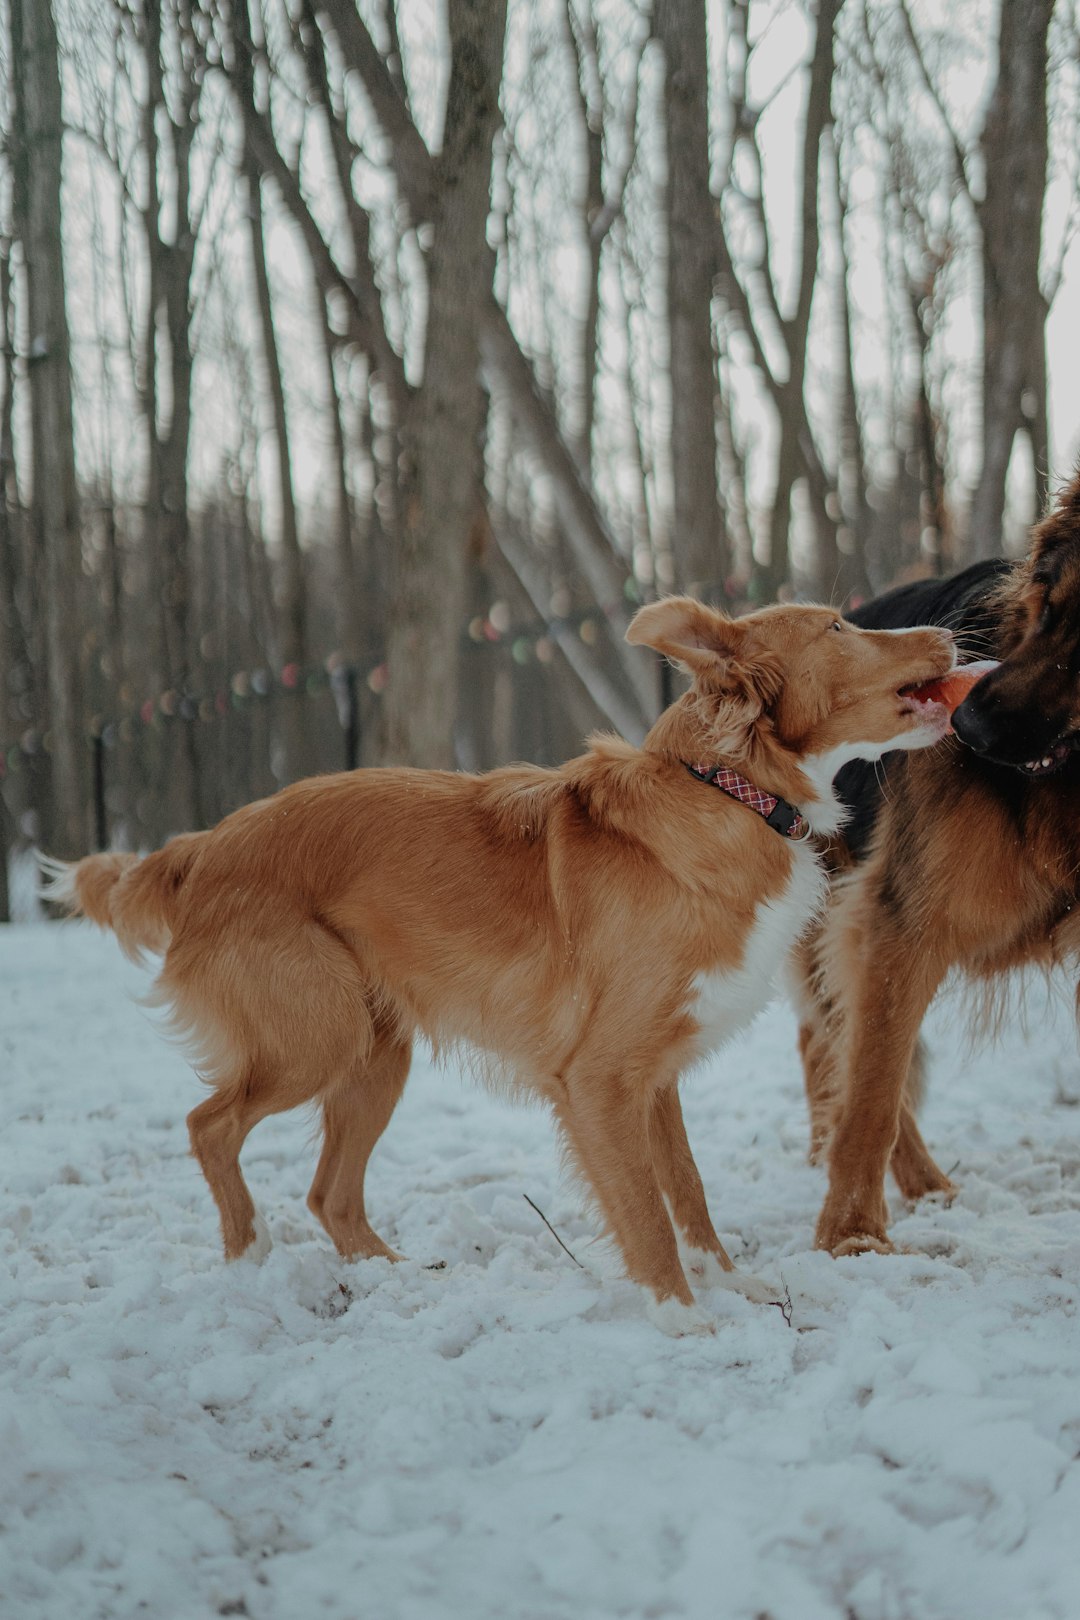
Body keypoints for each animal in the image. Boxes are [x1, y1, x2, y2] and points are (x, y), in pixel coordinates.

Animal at [44, 596, 952, 1328]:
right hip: (318, 1034)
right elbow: (646, 1210)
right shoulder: (600, 1078)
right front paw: (681, 1315)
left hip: (377, 1054)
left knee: (330, 1194)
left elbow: (687, 1190)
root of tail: (200, 847)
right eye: (838, 628)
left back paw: (391, 1275)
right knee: (210, 1126)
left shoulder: (655, 1077)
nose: (948, 632)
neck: (729, 791)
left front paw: (726, 1283)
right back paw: (252, 1254)